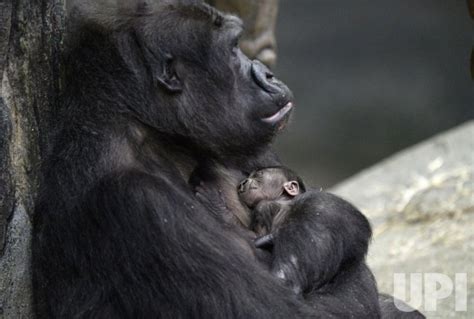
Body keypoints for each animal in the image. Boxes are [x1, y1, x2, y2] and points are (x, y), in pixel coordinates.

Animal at [31, 1, 402, 318]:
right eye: (233, 48)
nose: (266, 74)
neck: (153, 128)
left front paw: (304, 246)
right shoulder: (137, 201)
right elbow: (278, 311)